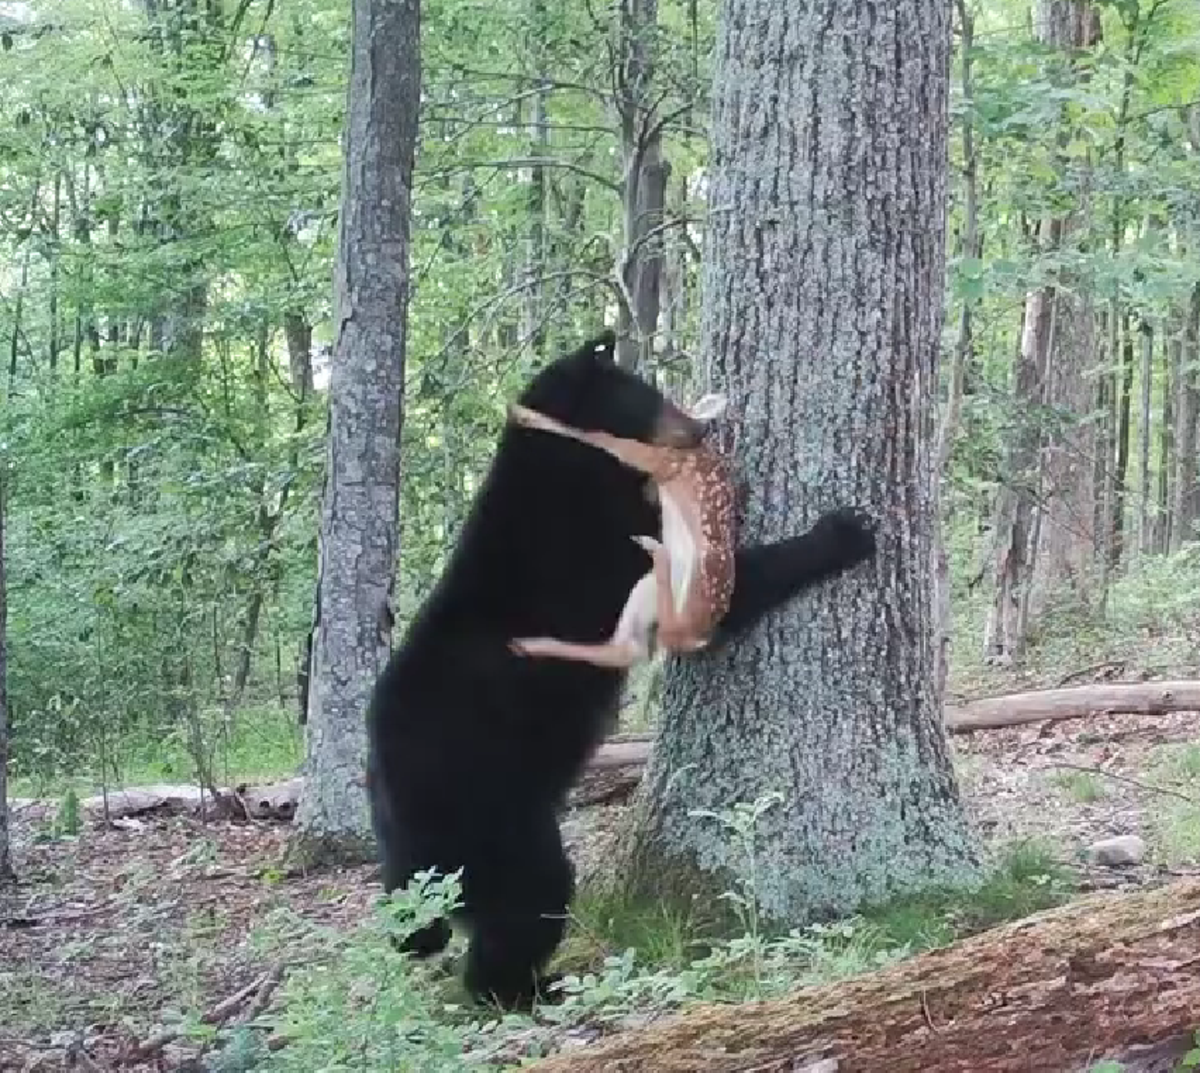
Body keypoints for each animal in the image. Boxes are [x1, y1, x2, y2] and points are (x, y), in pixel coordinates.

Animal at [365, 330, 876, 1009]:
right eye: (648, 394)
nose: (701, 428)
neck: (571, 458)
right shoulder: (603, 545)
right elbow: (718, 589)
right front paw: (842, 532)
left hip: (403, 840)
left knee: (419, 912)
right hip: (492, 808)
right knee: (531, 898)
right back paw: (530, 986)